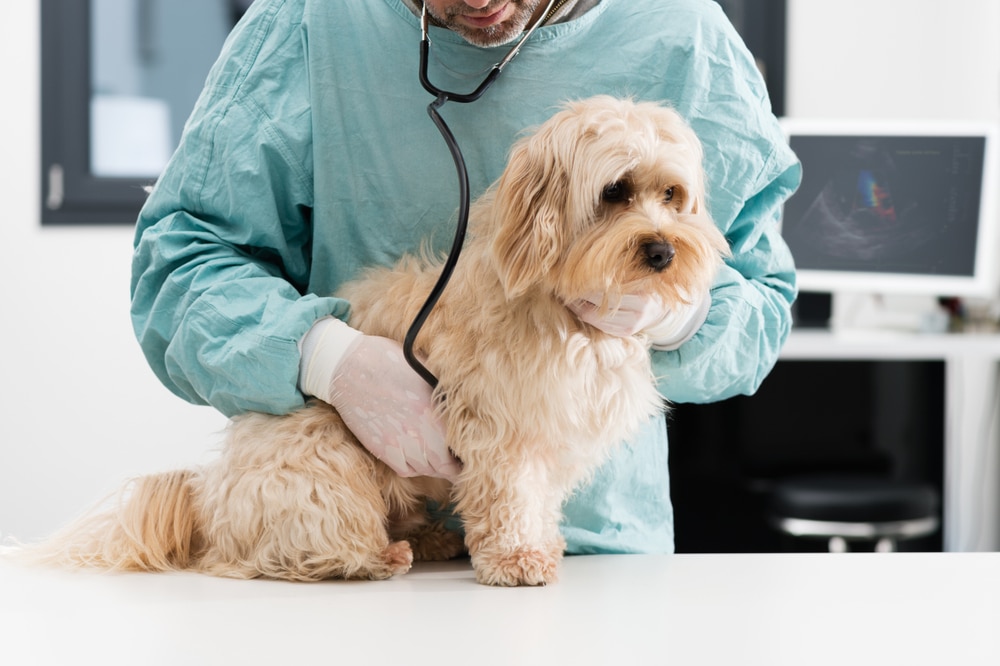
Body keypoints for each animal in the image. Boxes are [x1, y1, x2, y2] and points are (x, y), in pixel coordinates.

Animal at [23, 96, 728, 584]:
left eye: (672, 194)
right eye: (615, 191)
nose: (663, 251)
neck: (564, 309)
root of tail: (207, 505)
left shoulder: (553, 430)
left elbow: (542, 498)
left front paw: (542, 542)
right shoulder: (499, 430)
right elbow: (511, 496)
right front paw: (516, 557)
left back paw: (433, 539)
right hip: (324, 454)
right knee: (296, 552)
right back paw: (377, 556)